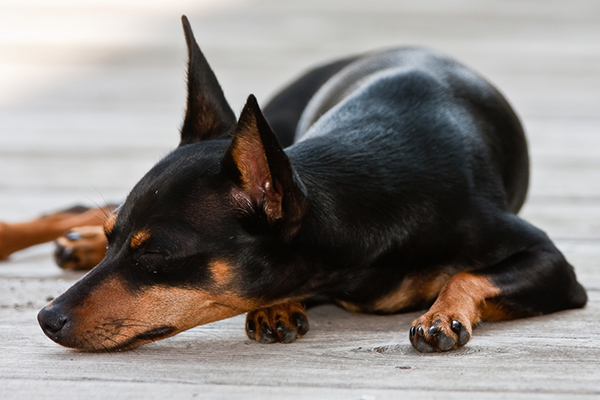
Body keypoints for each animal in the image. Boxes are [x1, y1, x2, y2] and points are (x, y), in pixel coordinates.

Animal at [24, 16, 592, 354]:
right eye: (116, 240)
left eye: (156, 256)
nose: (47, 318)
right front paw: (277, 303)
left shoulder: (554, 265)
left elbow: (467, 275)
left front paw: (442, 314)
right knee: (75, 209)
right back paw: (65, 239)